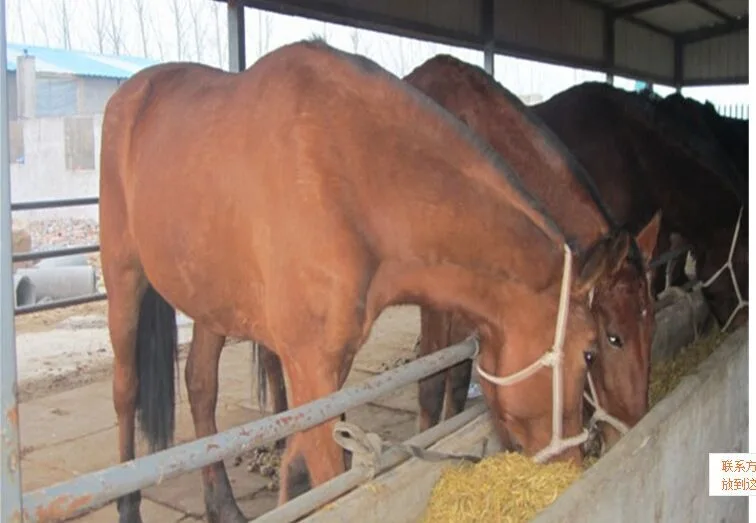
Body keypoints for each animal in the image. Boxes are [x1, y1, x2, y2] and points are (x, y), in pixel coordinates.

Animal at [99, 39, 628, 523]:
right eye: (590, 351)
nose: (574, 460)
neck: (349, 173)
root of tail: (130, 94)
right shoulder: (310, 366)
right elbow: (326, 479)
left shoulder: (328, 367)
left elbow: (298, 470)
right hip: (123, 277)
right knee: (125, 394)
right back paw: (128, 506)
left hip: (211, 298)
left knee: (200, 385)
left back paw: (222, 505)